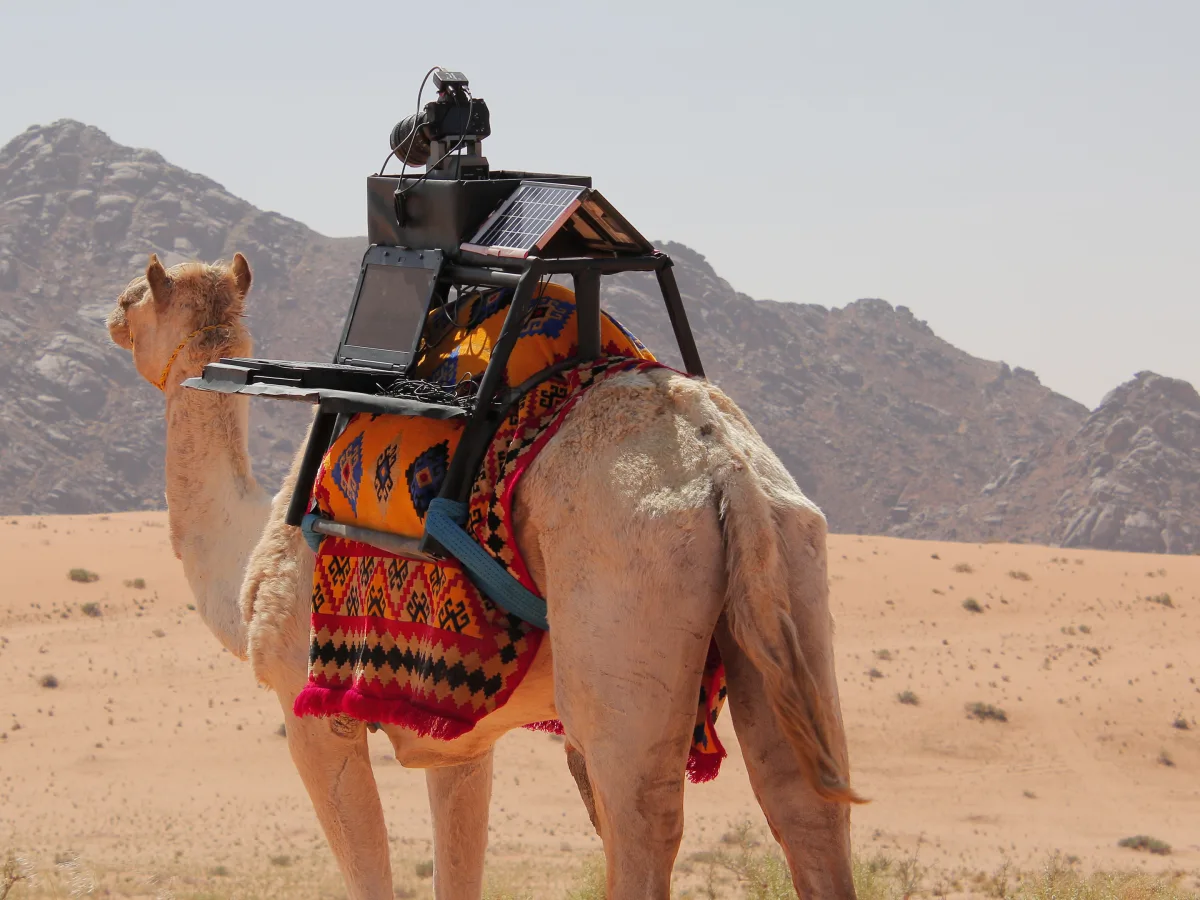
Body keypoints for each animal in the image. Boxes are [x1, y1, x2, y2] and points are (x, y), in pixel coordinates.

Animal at [106, 253, 860, 900]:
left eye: (134, 296)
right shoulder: (454, 732)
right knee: (805, 801)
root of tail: (727, 468)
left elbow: (369, 871)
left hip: (626, 609)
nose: (109, 317)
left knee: (642, 817)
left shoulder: (311, 709)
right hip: (791, 563)